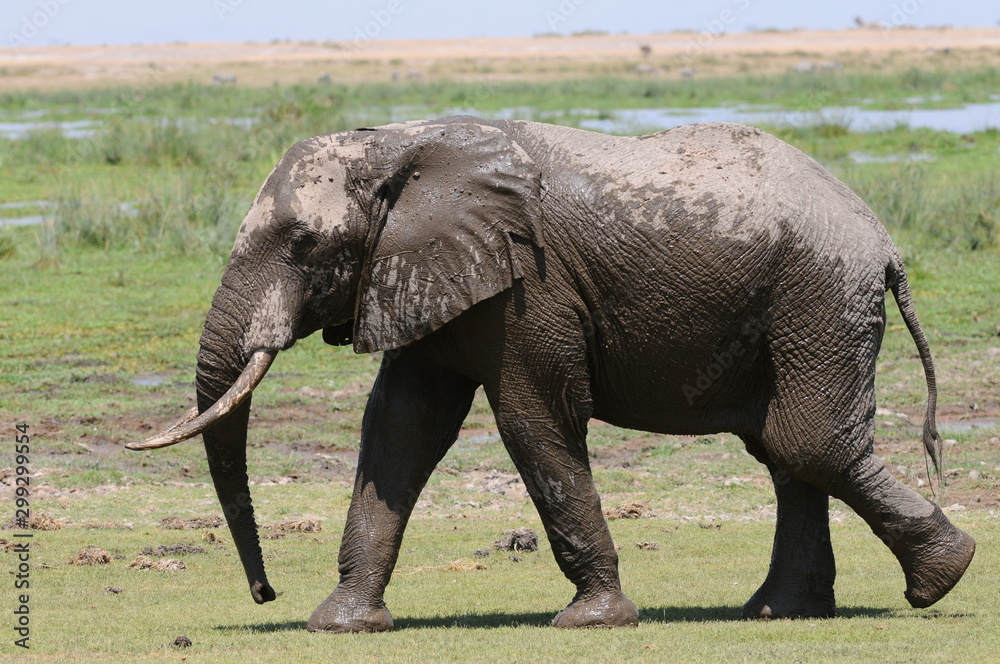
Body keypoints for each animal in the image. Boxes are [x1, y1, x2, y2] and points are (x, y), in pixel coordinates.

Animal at [128, 115, 975, 631]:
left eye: (304, 244)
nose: (263, 592)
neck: (403, 146)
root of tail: (883, 240)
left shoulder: (529, 287)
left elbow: (532, 420)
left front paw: (591, 621)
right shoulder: (424, 270)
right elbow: (400, 427)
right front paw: (341, 625)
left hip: (819, 297)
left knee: (805, 443)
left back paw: (942, 578)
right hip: (804, 305)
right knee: (784, 451)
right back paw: (781, 613)